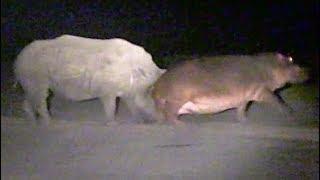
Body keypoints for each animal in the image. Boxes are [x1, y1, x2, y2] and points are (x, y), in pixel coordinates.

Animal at [14, 34, 165, 125]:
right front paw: (113, 123)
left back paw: (33, 122)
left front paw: (138, 121)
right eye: (151, 91)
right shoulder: (107, 90)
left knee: (28, 100)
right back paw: (50, 122)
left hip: (30, 83)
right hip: (36, 79)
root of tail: (17, 60)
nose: (161, 120)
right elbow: (111, 106)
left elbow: (131, 105)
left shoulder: (127, 91)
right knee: (41, 100)